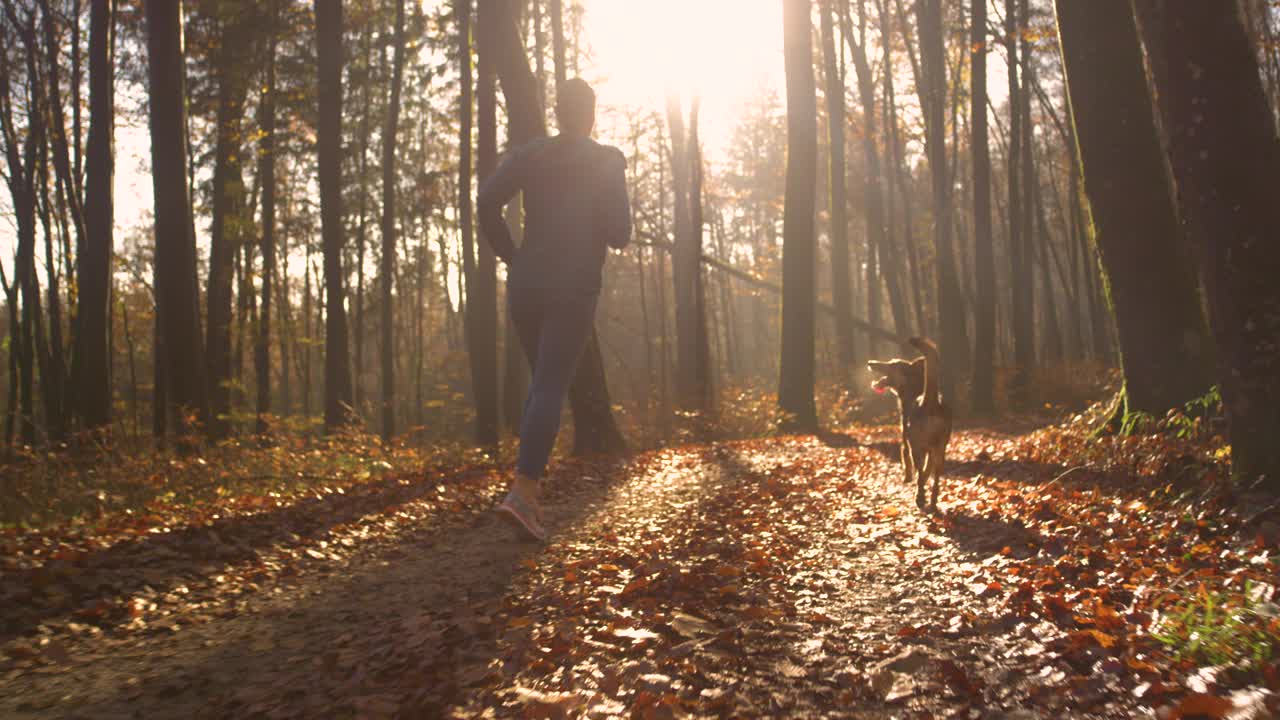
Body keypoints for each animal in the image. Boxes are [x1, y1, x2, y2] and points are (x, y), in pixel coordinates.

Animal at [870, 335, 952, 509]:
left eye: (891, 364)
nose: (870, 363)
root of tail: (930, 403)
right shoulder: (931, 450)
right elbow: (927, 471)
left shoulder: (906, 439)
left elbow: (905, 455)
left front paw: (908, 477)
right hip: (940, 448)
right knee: (935, 475)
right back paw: (932, 501)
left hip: (917, 447)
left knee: (919, 469)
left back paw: (920, 498)